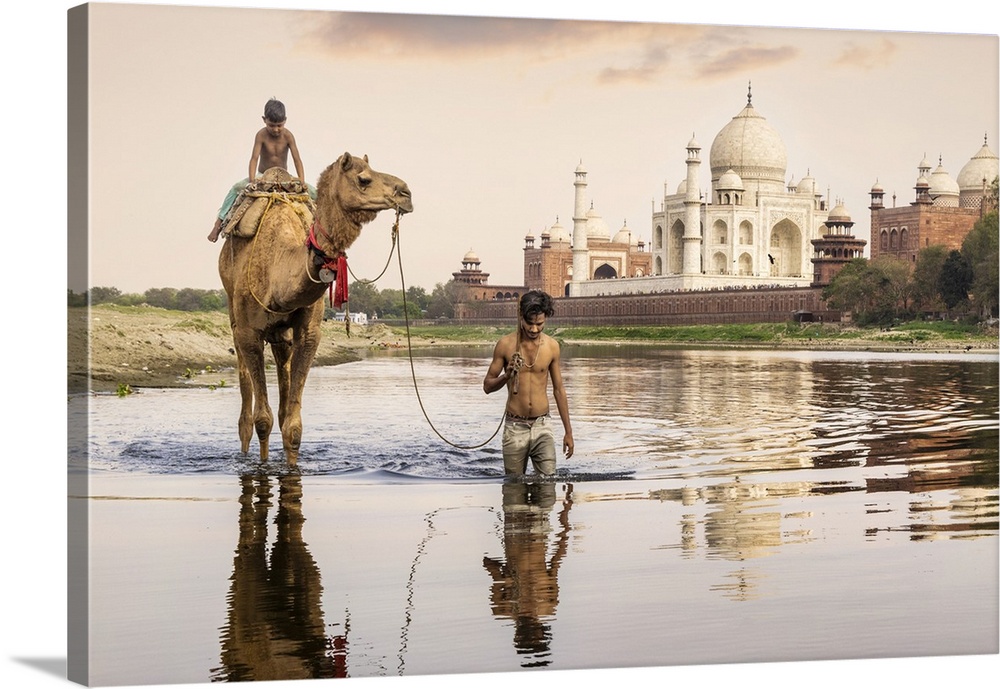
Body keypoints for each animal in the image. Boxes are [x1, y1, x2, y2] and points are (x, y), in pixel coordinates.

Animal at [219, 152, 412, 465]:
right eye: (363, 179)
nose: (406, 193)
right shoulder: (249, 333)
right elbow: (262, 420)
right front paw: (263, 465)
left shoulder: (309, 332)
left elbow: (293, 425)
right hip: (234, 315)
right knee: (246, 412)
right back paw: (245, 453)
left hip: (280, 334)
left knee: (282, 385)